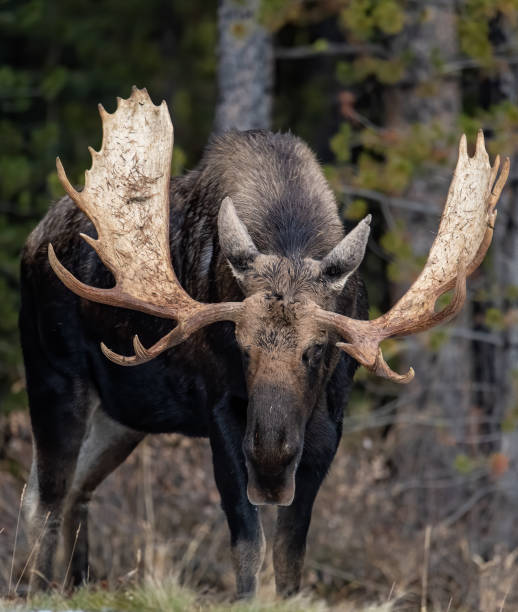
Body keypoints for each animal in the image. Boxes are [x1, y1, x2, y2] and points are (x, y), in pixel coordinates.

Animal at [21, 87, 512, 596]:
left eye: (318, 349)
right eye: (241, 345)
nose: (271, 457)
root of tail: (34, 240)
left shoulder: (329, 423)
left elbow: (290, 553)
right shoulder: (220, 411)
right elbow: (248, 544)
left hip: (125, 415)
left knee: (77, 489)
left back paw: (76, 586)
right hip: (54, 374)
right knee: (45, 495)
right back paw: (37, 589)